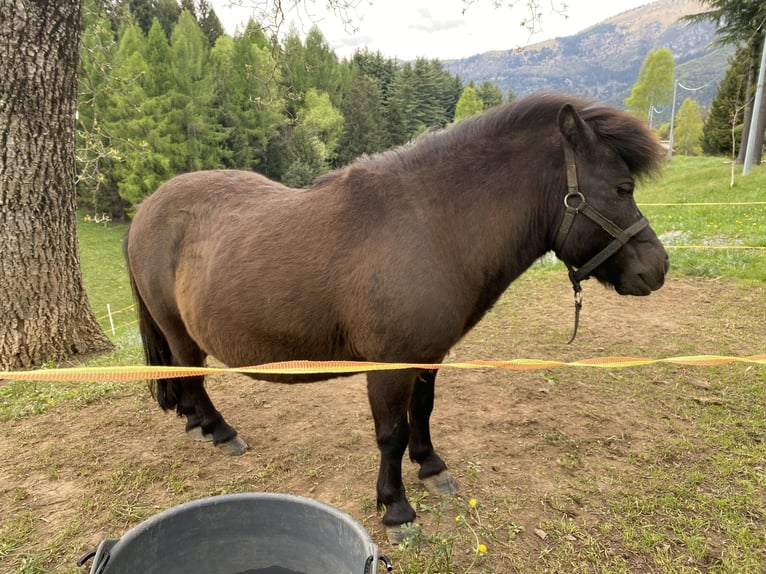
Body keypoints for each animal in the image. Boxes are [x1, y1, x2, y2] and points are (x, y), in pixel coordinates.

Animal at [126, 91, 664, 540]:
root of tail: (146, 208)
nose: (657, 267)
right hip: (179, 331)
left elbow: (421, 412)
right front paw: (396, 507)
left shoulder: (428, 356)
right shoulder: (389, 365)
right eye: (622, 187)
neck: (431, 225)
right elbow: (391, 434)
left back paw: (196, 424)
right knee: (191, 374)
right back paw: (219, 430)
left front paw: (431, 466)